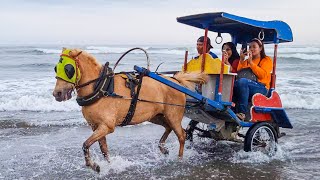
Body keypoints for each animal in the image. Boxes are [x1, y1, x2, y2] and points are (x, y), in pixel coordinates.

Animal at [52, 47, 208, 172]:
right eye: (56, 68)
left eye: (68, 69)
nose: (57, 94)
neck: (101, 88)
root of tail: (176, 81)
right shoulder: (96, 126)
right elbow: (104, 150)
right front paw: (109, 165)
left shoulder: (107, 126)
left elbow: (85, 145)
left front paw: (93, 165)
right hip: (156, 116)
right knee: (168, 128)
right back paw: (163, 148)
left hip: (173, 115)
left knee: (181, 135)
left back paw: (180, 158)